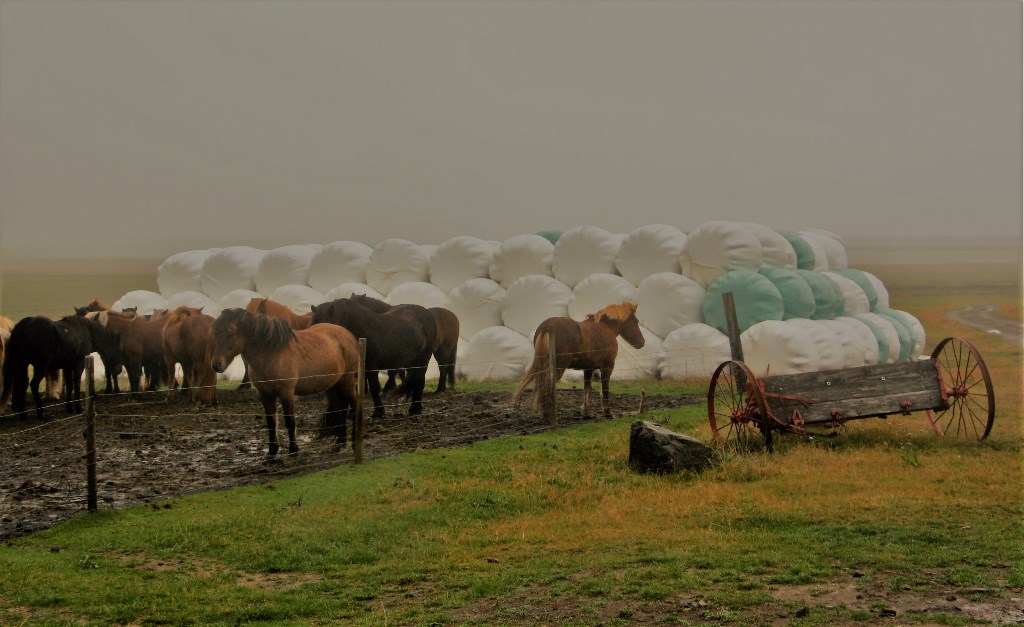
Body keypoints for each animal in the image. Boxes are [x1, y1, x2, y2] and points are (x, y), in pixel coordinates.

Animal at [207, 309, 360, 454]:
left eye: (230, 333)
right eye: (214, 332)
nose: (216, 365)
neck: (271, 354)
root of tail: (349, 335)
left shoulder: (286, 393)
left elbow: (289, 422)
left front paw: (293, 449)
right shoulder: (265, 394)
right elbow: (271, 422)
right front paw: (272, 451)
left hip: (347, 383)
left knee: (354, 407)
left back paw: (353, 443)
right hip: (332, 387)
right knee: (340, 411)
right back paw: (339, 444)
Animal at [305, 297, 434, 418]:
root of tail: (426, 313)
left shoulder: (372, 367)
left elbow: (374, 388)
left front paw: (378, 412)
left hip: (423, 360)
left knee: (419, 383)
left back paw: (415, 409)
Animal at [512, 301, 647, 418]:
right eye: (636, 321)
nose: (642, 342)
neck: (606, 328)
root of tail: (546, 327)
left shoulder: (588, 369)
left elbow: (586, 389)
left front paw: (586, 413)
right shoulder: (607, 367)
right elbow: (605, 388)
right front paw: (607, 412)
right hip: (557, 369)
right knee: (546, 387)